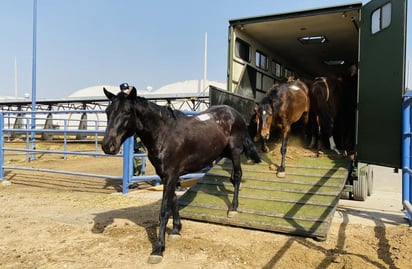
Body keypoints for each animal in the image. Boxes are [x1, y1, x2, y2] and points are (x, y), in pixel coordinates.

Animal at [101, 87, 260, 262]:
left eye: (127, 112)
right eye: (107, 111)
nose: (108, 146)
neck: (164, 133)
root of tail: (234, 113)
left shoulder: (171, 175)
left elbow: (164, 211)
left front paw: (158, 249)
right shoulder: (167, 175)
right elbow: (173, 199)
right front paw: (176, 230)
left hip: (235, 151)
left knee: (237, 176)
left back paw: (233, 208)